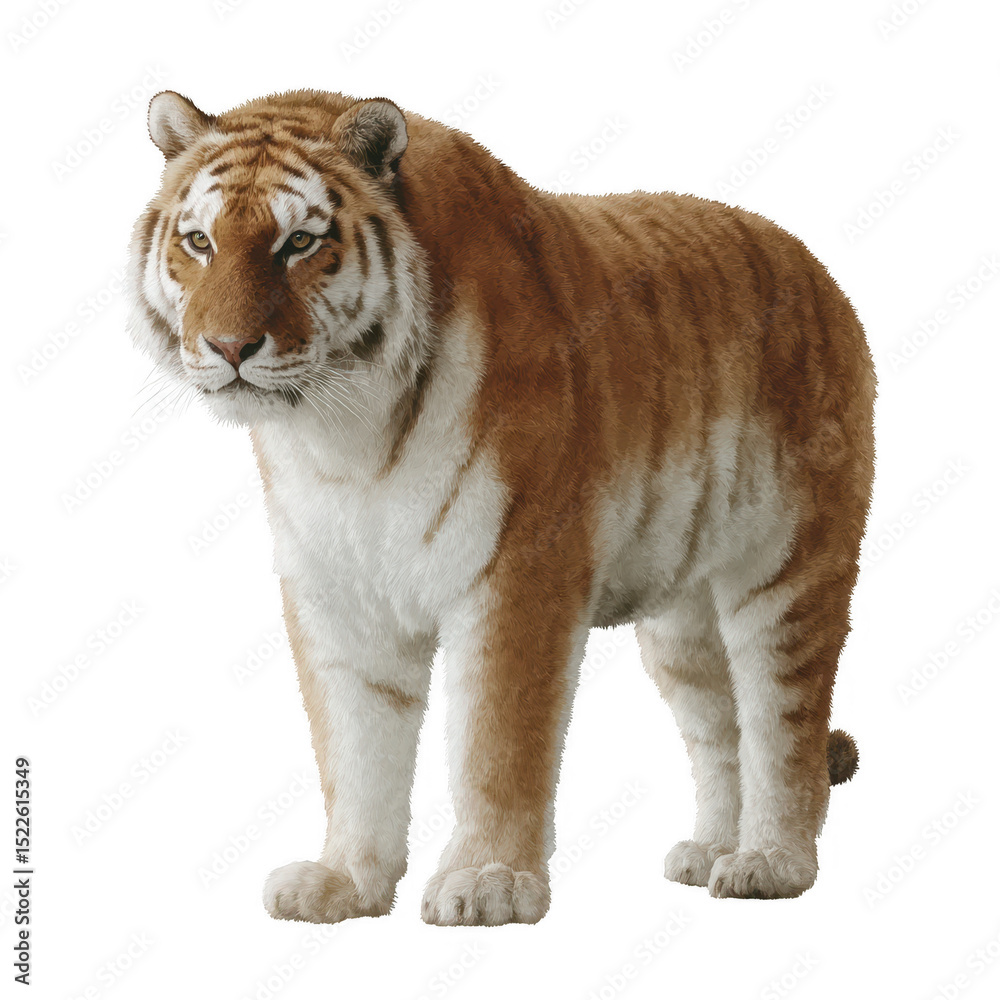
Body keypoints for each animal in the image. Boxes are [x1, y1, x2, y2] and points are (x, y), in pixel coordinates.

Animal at [126, 88, 874, 926]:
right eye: (199, 241)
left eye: (299, 242)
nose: (229, 347)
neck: (344, 434)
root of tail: (817, 272)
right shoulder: (338, 599)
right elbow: (354, 748)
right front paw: (344, 882)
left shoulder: (518, 572)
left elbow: (497, 742)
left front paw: (487, 883)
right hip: (682, 621)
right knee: (720, 725)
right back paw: (711, 851)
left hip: (789, 574)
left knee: (784, 727)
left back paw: (770, 864)